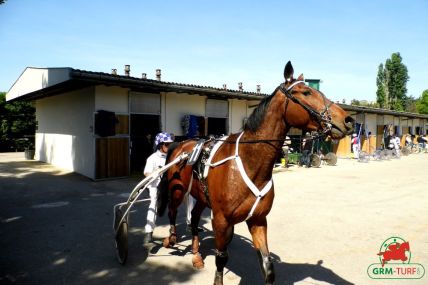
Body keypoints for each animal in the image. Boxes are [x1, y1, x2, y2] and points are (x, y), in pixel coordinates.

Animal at [157, 61, 354, 282]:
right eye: (306, 92)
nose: (348, 120)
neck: (249, 161)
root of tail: (181, 144)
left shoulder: (258, 220)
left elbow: (267, 266)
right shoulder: (221, 220)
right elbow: (221, 258)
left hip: (201, 196)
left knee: (195, 218)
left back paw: (196, 255)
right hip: (177, 190)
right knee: (173, 212)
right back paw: (171, 239)